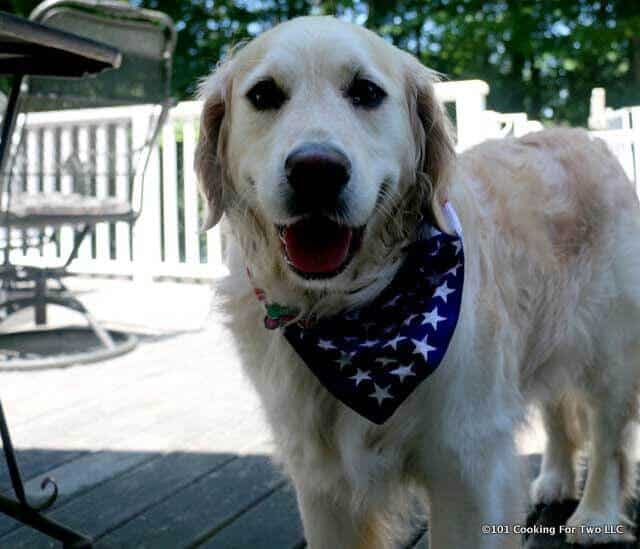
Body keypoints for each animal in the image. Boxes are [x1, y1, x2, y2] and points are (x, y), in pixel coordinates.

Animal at [195, 15, 640, 548]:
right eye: (263, 94)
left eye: (366, 92)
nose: (316, 170)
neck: (352, 316)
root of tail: (585, 138)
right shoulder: (321, 481)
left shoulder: (467, 464)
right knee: (557, 410)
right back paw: (553, 479)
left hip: (610, 351)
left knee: (609, 437)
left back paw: (595, 516)